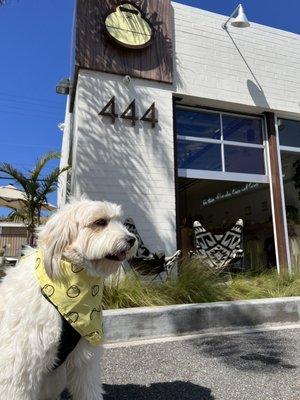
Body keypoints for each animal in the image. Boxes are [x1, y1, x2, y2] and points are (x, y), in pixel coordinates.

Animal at [0, 200, 137, 400]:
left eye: (121, 221)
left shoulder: (85, 360)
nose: (132, 239)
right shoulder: (21, 364)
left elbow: (89, 389)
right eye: (100, 222)